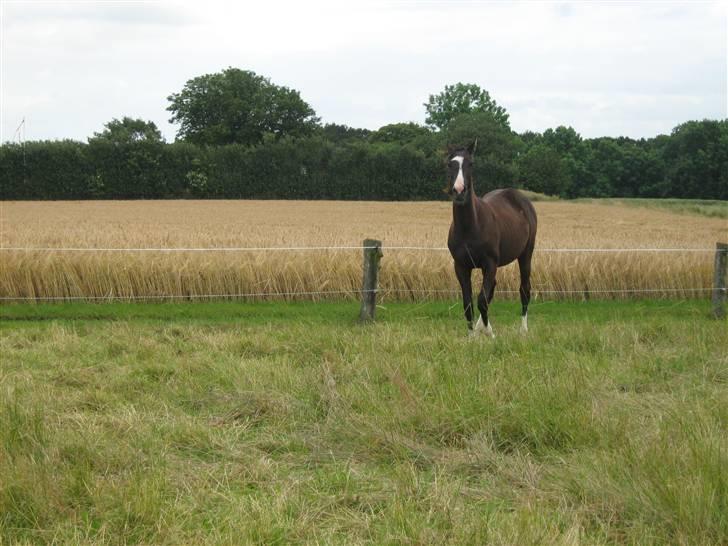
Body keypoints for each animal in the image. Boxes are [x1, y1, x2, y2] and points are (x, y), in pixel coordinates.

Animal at [446, 142, 536, 334]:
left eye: (470, 163)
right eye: (450, 164)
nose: (459, 191)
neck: (470, 227)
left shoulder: (490, 263)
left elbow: (482, 300)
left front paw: (489, 333)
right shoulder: (461, 266)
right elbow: (468, 304)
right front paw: (472, 335)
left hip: (526, 254)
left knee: (524, 290)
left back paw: (523, 330)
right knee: (491, 290)